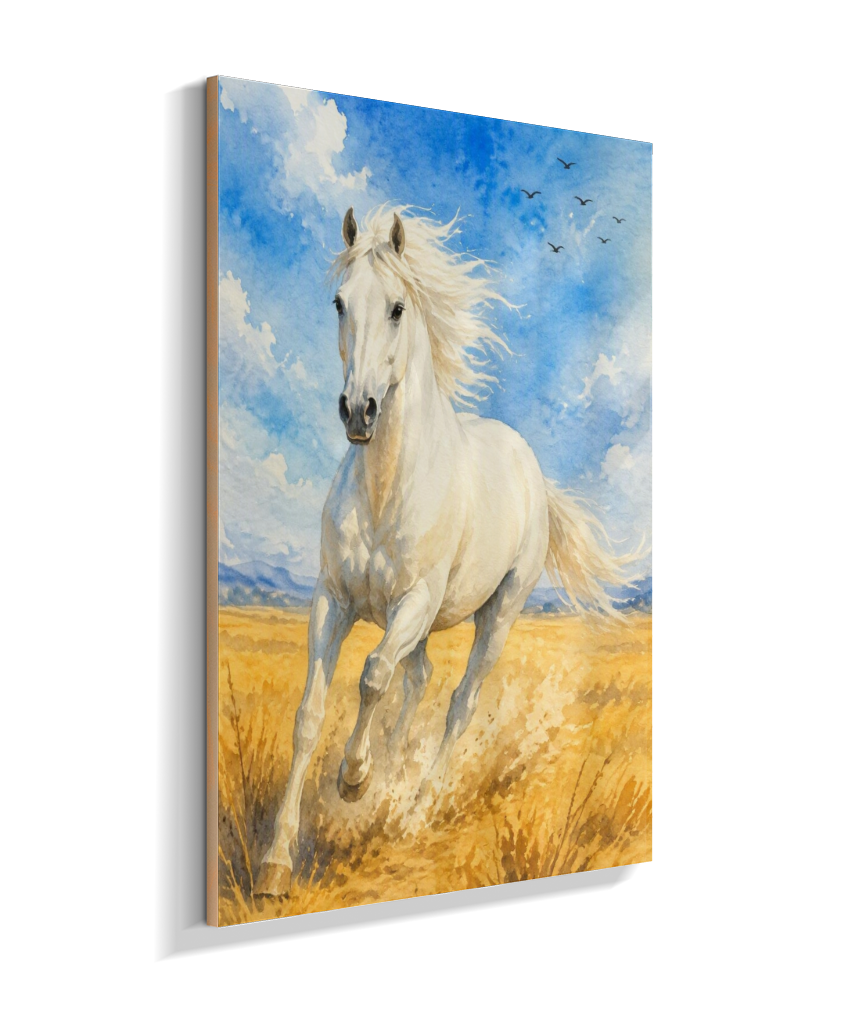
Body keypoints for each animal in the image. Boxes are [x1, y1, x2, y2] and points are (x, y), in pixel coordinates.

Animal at [255, 205, 631, 897]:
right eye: (339, 302)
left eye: (398, 307)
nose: (358, 411)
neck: (386, 489)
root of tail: (528, 464)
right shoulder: (332, 601)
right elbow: (309, 714)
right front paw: (276, 861)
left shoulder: (413, 601)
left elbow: (372, 676)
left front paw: (355, 779)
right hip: (426, 623)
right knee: (421, 679)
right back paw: (394, 777)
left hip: (497, 614)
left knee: (458, 702)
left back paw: (416, 804)